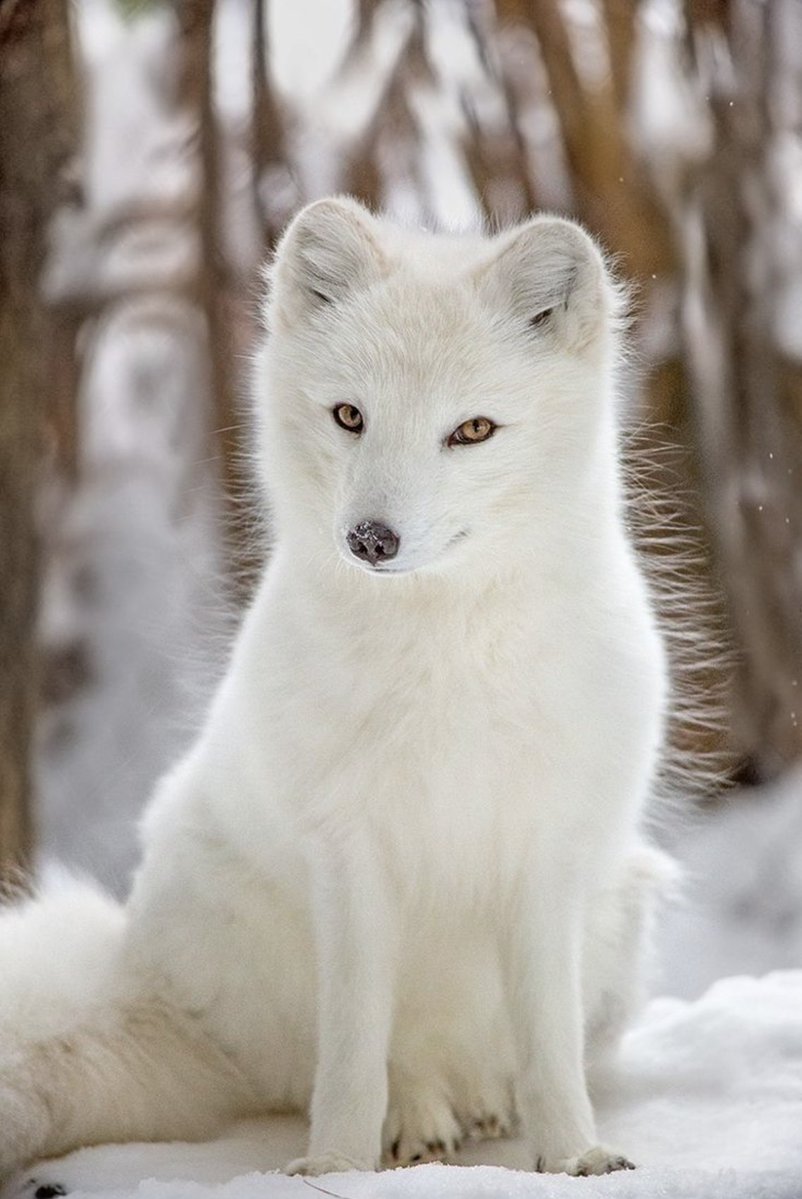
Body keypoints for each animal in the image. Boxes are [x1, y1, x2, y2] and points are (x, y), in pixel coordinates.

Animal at [0, 197, 672, 1183]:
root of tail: (152, 984)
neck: (443, 657)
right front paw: (335, 1165)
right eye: (350, 415)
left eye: (473, 430)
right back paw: (417, 1124)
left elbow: (549, 1044)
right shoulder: (350, 852)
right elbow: (355, 1048)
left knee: (484, 1059)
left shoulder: (544, 850)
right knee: (381, 1060)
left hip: (621, 902)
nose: (371, 539)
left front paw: (574, 1155)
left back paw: (478, 1107)